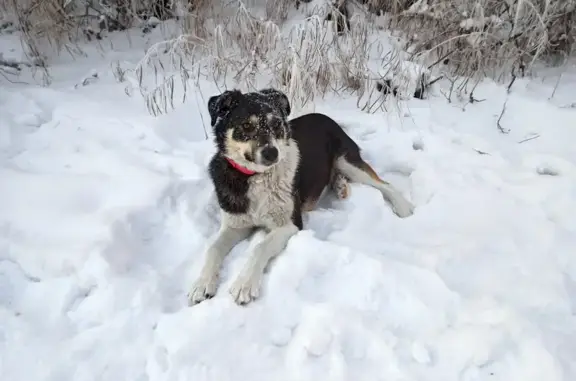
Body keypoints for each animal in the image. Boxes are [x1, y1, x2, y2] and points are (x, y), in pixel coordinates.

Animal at [189, 87, 414, 304]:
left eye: (276, 123)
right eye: (246, 125)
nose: (272, 153)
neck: (256, 177)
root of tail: (326, 117)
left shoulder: (290, 224)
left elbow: (260, 247)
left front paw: (244, 283)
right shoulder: (235, 225)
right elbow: (213, 248)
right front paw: (202, 283)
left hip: (347, 161)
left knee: (384, 184)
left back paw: (403, 207)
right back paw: (340, 186)